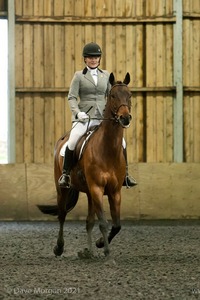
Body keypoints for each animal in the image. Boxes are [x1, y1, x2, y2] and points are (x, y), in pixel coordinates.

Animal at [38, 73, 132, 258]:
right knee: (62, 215)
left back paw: (88, 252)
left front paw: (100, 243)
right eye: (112, 95)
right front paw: (106, 251)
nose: (125, 118)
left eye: (129, 95)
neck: (107, 149)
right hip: (63, 189)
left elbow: (116, 225)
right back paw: (59, 248)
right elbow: (103, 222)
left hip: (89, 193)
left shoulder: (114, 191)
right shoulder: (96, 188)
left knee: (89, 221)